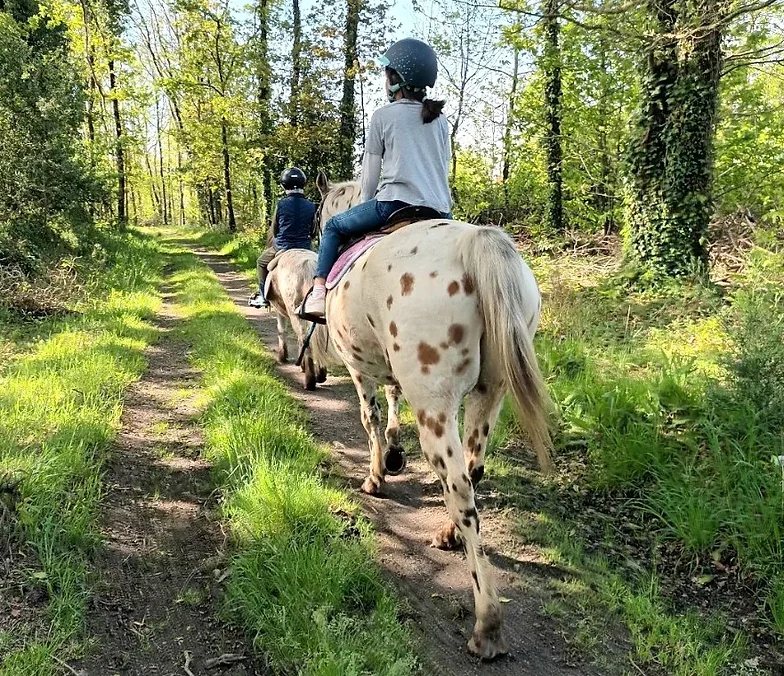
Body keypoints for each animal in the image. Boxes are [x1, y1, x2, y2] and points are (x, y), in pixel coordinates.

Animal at [306, 170, 552, 660]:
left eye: (320, 213)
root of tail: (478, 241)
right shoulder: (389, 368)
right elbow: (391, 397)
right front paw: (394, 454)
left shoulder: (359, 368)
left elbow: (369, 418)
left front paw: (377, 475)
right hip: (488, 396)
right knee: (473, 471)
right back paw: (448, 534)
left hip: (436, 406)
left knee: (458, 485)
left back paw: (486, 624)